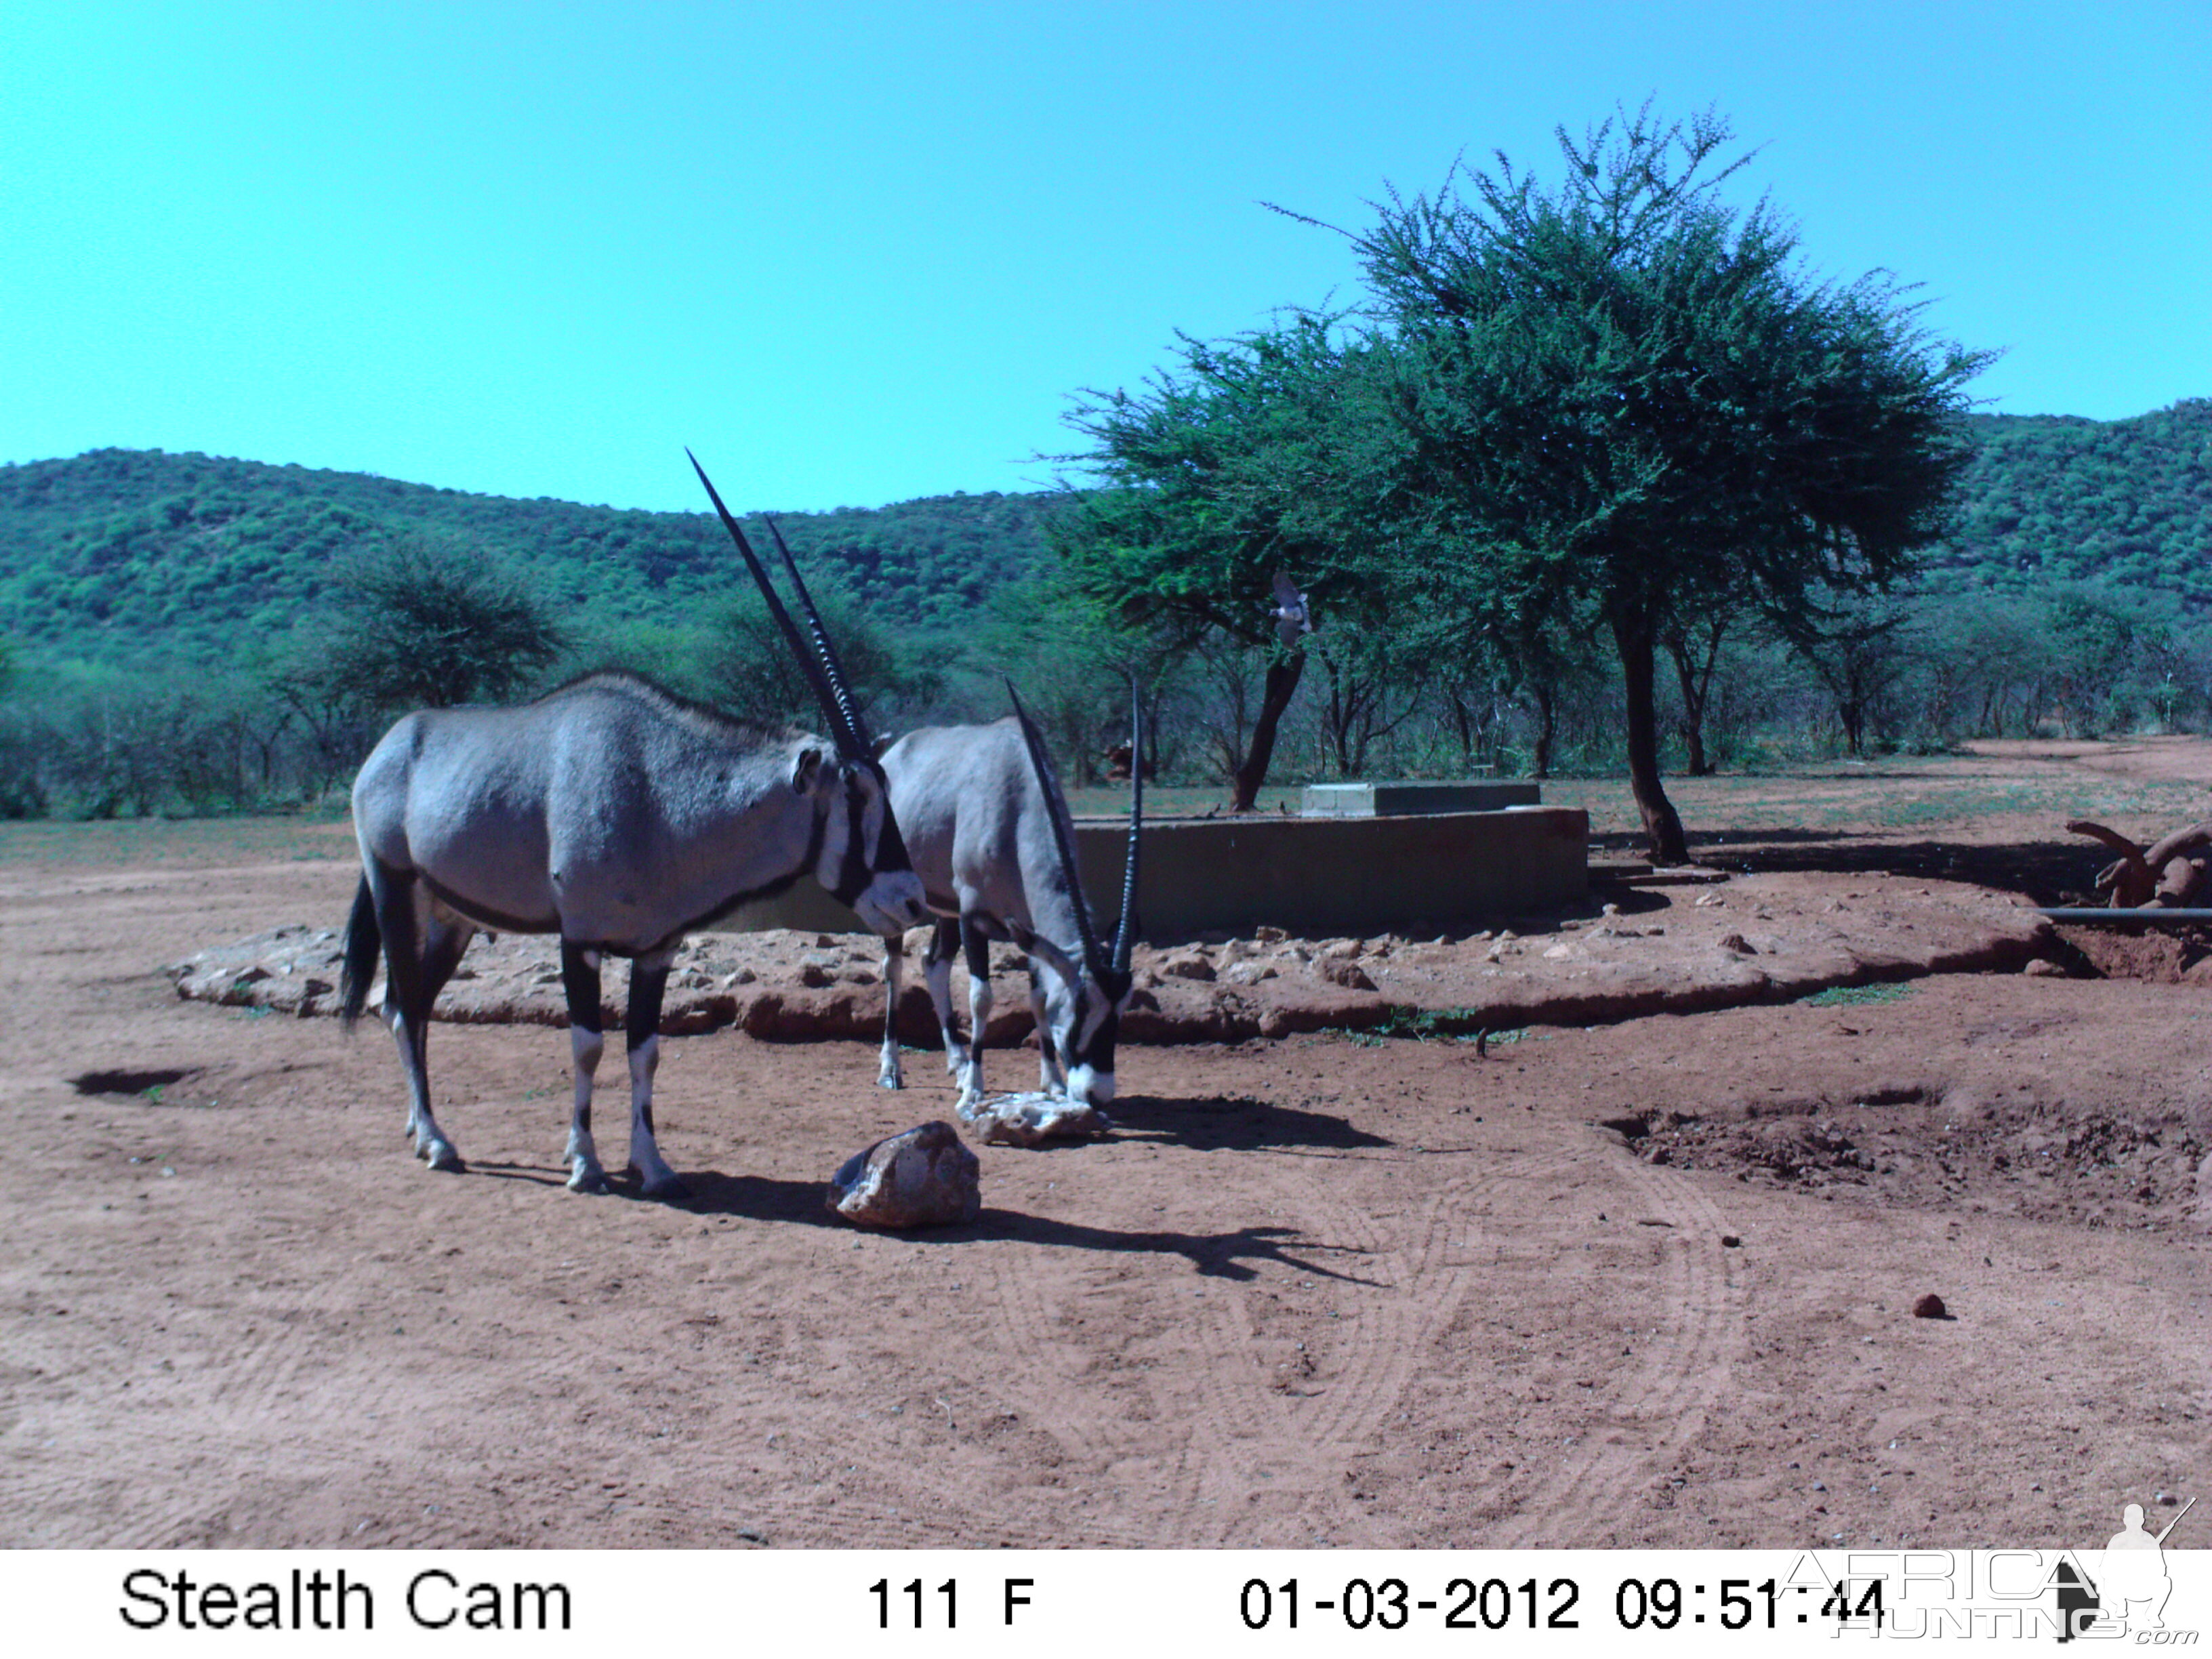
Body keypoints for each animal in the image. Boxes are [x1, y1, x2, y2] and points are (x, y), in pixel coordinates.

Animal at [336, 462, 924, 1203]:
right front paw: (585, 1163)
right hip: (395, 891)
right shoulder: (580, 940)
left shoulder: (656, 950)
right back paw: (438, 1142)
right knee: (401, 1005)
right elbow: (587, 1043)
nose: (911, 898)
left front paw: (654, 1165)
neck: (657, 787)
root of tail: (389, 746)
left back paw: (423, 1131)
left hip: (452, 919)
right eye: (854, 792)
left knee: (407, 1005)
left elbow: (645, 1051)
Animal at [872, 681, 1141, 1124]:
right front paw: (972, 1094)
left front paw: (1053, 1083)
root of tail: (891, 756)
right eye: (1080, 1010)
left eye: (1121, 1012)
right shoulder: (974, 916)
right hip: (899, 900)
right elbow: (982, 999)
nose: (1097, 1094)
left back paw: (958, 1062)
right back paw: (892, 1069)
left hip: (945, 909)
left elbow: (1038, 997)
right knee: (894, 967)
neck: (1017, 797)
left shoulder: (1026, 928)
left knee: (934, 963)